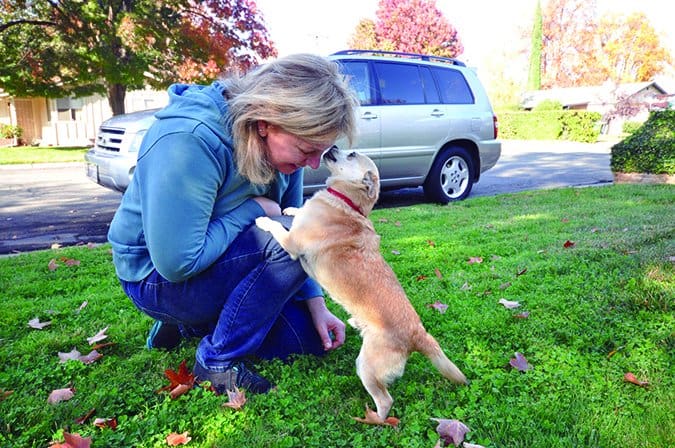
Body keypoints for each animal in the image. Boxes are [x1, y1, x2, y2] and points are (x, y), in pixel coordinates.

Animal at [256, 147, 468, 424]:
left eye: (352, 154)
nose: (333, 147)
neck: (348, 203)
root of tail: (417, 335)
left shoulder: (291, 243)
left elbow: (277, 226)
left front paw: (263, 220)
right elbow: (294, 211)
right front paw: (291, 208)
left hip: (366, 368)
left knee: (386, 401)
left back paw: (372, 420)